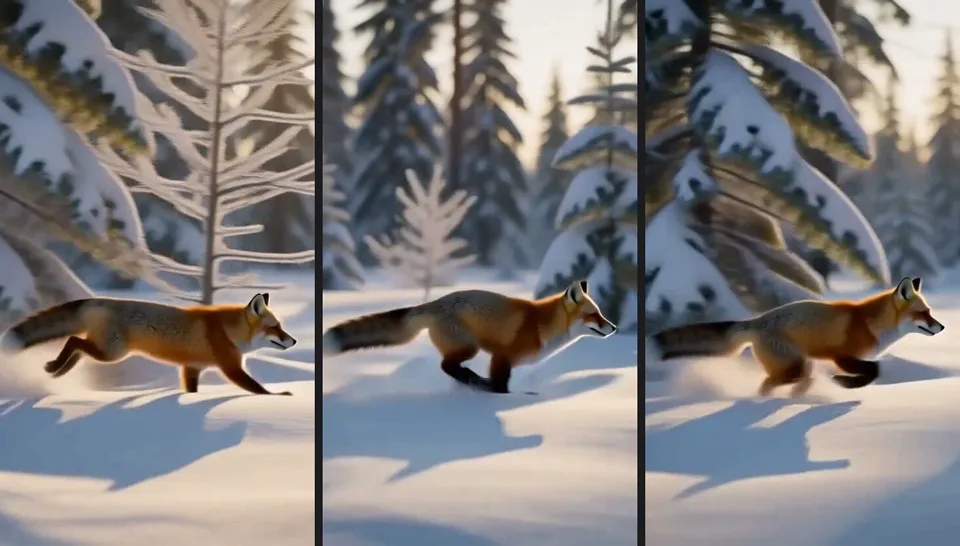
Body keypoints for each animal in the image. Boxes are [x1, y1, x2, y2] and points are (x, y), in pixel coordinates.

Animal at [0, 293, 297, 396]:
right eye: (275, 327)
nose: (293, 340)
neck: (228, 331)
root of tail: (100, 300)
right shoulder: (230, 368)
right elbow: (257, 389)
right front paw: (278, 396)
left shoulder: (191, 368)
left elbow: (191, 391)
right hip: (112, 353)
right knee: (74, 341)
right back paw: (56, 368)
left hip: (104, 350)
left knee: (77, 347)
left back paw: (57, 370)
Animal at [322, 280, 618, 394]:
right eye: (594, 315)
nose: (614, 327)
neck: (542, 326)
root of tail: (434, 303)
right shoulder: (502, 356)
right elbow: (500, 385)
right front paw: (501, 397)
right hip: (470, 347)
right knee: (447, 366)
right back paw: (471, 379)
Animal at [649, 276, 945, 397]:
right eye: (924, 313)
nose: (942, 327)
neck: (870, 324)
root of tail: (757, 321)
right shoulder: (841, 356)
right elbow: (874, 370)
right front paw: (846, 384)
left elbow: (874, 370)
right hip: (795, 366)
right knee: (770, 384)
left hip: (803, 365)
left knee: (792, 383)